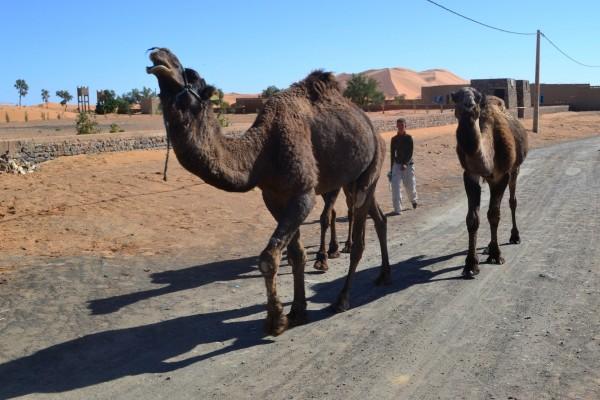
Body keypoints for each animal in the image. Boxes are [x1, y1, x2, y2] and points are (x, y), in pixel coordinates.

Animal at [145, 47, 390, 336]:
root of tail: (374, 128)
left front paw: (276, 320)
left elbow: (268, 257)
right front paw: (297, 310)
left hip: (371, 169)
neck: (262, 151)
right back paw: (384, 275)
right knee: (378, 217)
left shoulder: (302, 194)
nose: (157, 53)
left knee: (361, 236)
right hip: (355, 181)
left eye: (191, 74)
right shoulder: (273, 197)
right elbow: (295, 254)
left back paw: (342, 299)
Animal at [450, 88, 528, 278]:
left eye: (477, 97)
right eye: (455, 97)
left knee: (512, 202)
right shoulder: (470, 174)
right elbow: (472, 218)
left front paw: (496, 255)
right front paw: (471, 265)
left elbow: (494, 215)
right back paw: (487, 248)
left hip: (515, 169)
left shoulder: (501, 176)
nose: (469, 106)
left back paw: (514, 237)